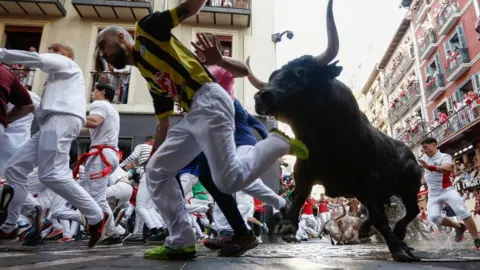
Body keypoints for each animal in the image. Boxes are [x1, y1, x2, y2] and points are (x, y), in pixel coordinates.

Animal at [246, 0, 422, 262]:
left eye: (301, 72)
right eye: (273, 76)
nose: (262, 96)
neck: (324, 139)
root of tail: (409, 153)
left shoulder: (370, 180)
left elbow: (381, 217)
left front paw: (399, 250)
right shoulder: (304, 171)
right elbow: (299, 196)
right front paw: (287, 226)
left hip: (410, 186)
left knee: (412, 210)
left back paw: (397, 234)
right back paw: (366, 229)